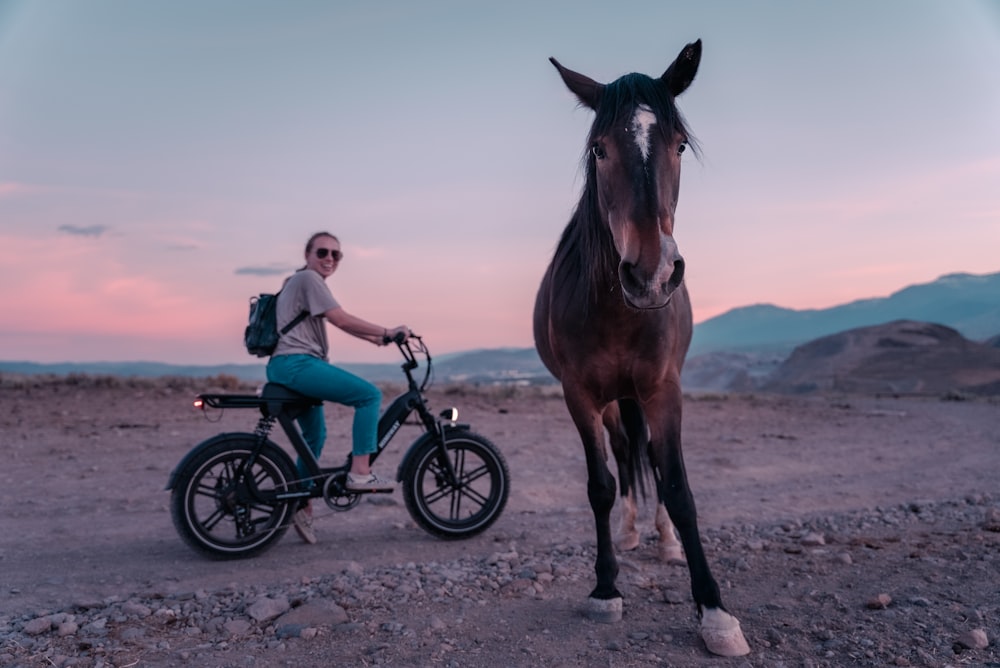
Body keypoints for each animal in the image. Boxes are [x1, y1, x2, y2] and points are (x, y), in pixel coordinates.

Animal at [532, 40, 752, 656]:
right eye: (598, 148)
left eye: (679, 144)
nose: (651, 274)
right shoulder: (580, 396)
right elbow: (601, 485)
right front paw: (606, 588)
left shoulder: (662, 390)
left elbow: (676, 484)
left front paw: (715, 611)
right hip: (613, 401)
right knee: (626, 454)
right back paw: (631, 533)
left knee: (647, 454)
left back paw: (665, 541)